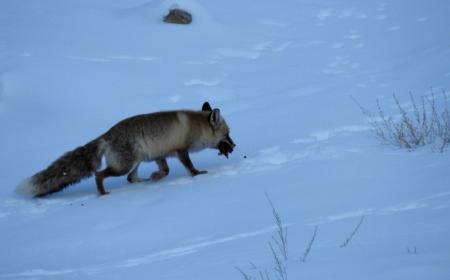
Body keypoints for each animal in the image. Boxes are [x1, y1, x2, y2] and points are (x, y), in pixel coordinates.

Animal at [17, 101, 236, 197]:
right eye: (227, 134)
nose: (234, 146)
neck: (196, 126)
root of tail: (106, 135)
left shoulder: (160, 154)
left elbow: (165, 171)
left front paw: (156, 177)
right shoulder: (181, 150)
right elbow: (190, 168)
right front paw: (198, 174)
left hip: (135, 163)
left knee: (131, 179)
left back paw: (143, 182)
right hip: (123, 166)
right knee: (99, 175)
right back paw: (103, 193)